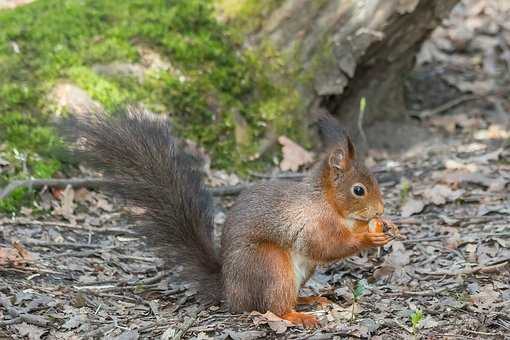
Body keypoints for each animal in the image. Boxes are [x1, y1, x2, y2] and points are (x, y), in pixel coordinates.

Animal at [74, 107, 394, 328]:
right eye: (358, 190)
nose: (380, 210)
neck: (327, 202)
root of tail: (230, 290)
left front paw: (384, 227)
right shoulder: (312, 223)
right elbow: (325, 246)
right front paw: (369, 236)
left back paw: (309, 299)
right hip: (269, 264)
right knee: (272, 306)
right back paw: (297, 315)